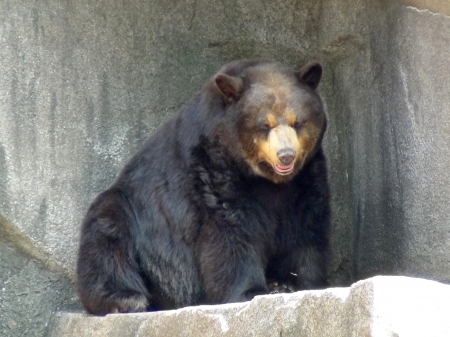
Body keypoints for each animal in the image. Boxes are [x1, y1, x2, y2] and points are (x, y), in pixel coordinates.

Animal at [76, 59, 330, 314]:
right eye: (265, 125)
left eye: (297, 122)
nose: (286, 155)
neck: (265, 178)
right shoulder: (212, 168)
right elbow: (230, 230)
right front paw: (249, 290)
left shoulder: (306, 176)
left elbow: (306, 225)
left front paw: (296, 282)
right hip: (132, 214)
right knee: (107, 238)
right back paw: (126, 298)